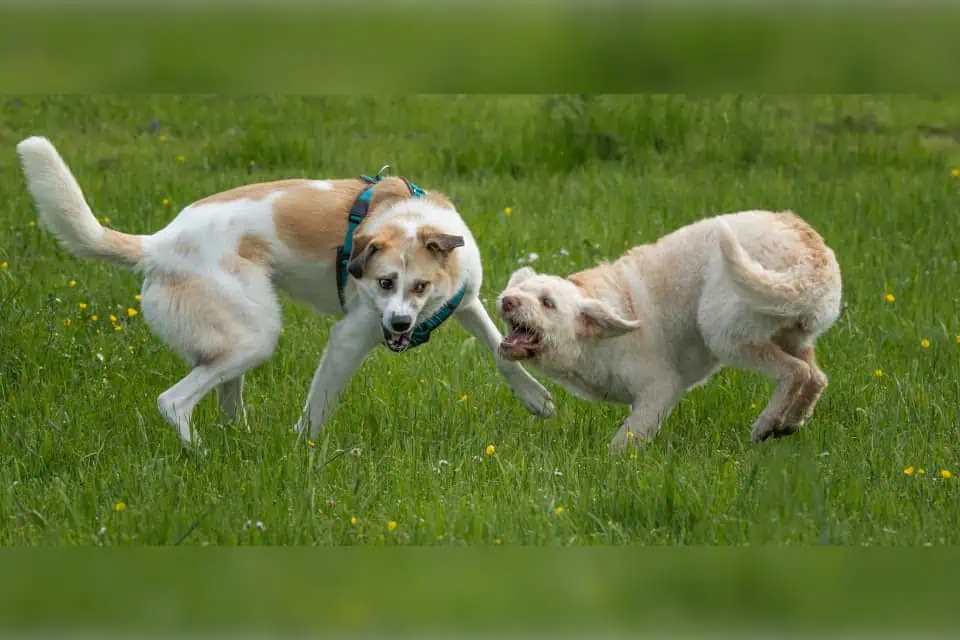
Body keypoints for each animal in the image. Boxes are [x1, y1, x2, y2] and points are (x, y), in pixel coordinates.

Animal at [16, 135, 556, 444]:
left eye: (420, 285)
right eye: (384, 283)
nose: (400, 325)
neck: (408, 221)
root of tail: (158, 244)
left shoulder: (464, 300)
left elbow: (500, 351)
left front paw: (533, 397)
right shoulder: (350, 337)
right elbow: (317, 408)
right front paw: (304, 451)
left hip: (235, 340)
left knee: (224, 400)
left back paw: (240, 443)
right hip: (255, 335)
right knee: (174, 401)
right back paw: (201, 455)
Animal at [496, 210, 840, 450]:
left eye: (547, 303)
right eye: (519, 290)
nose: (507, 300)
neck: (595, 337)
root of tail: (811, 258)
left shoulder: (660, 388)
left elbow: (627, 437)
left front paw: (612, 465)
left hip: (722, 330)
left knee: (795, 372)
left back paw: (767, 424)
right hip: (791, 333)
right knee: (816, 377)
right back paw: (790, 422)